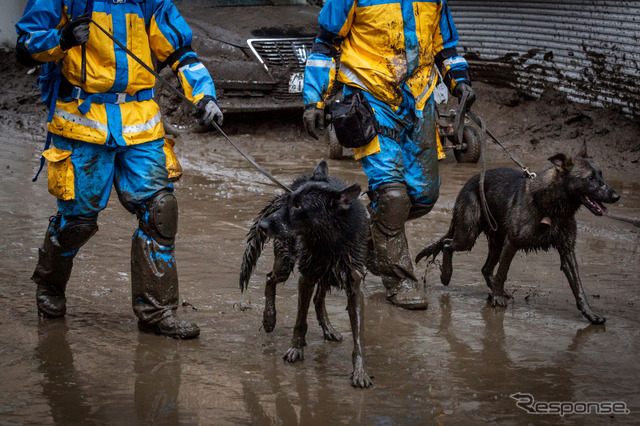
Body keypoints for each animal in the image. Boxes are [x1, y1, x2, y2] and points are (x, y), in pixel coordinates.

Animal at [239, 161, 370, 388]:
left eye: (299, 206)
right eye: (291, 202)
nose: (263, 226)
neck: (330, 240)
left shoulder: (354, 286)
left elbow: (358, 335)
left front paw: (360, 371)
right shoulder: (306, 277)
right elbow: (300, 321)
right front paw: (296, 349)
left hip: (326, 274)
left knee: (318, 299)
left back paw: (328, 329)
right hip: (286, 263)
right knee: (270, 279)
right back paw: (269, 318)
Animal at [416, 141, 620, 324]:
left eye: (601, 175)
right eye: (590, 178)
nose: (616, 196)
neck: (551, 207)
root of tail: (470, 182)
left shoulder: (566, 250)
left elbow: (578, 286)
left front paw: (590, 314)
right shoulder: (512, 243)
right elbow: (503, 272)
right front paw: (497, 299)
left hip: (496, 241)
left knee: (485, 268)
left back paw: (494, 290)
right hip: (468, 236)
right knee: (447, 244)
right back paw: (447, 275)